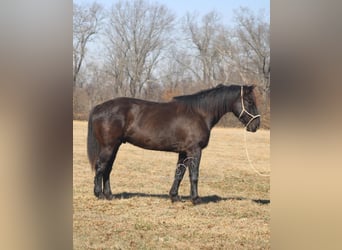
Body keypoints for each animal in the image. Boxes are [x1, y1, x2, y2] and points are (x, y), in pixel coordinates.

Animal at [87, 84, 260, 205]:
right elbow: (194, 175)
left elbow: (179, 173)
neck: (200, 113)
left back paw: (109, 195)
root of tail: (99, 107)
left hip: (115, 146)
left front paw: (175, 197)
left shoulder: (183, 152)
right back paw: (99, 194)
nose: (256, 125)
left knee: (107, 169)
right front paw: (195, 199)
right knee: (101, 167)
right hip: (108, 147)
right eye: (249, 101)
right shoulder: (194, 151)